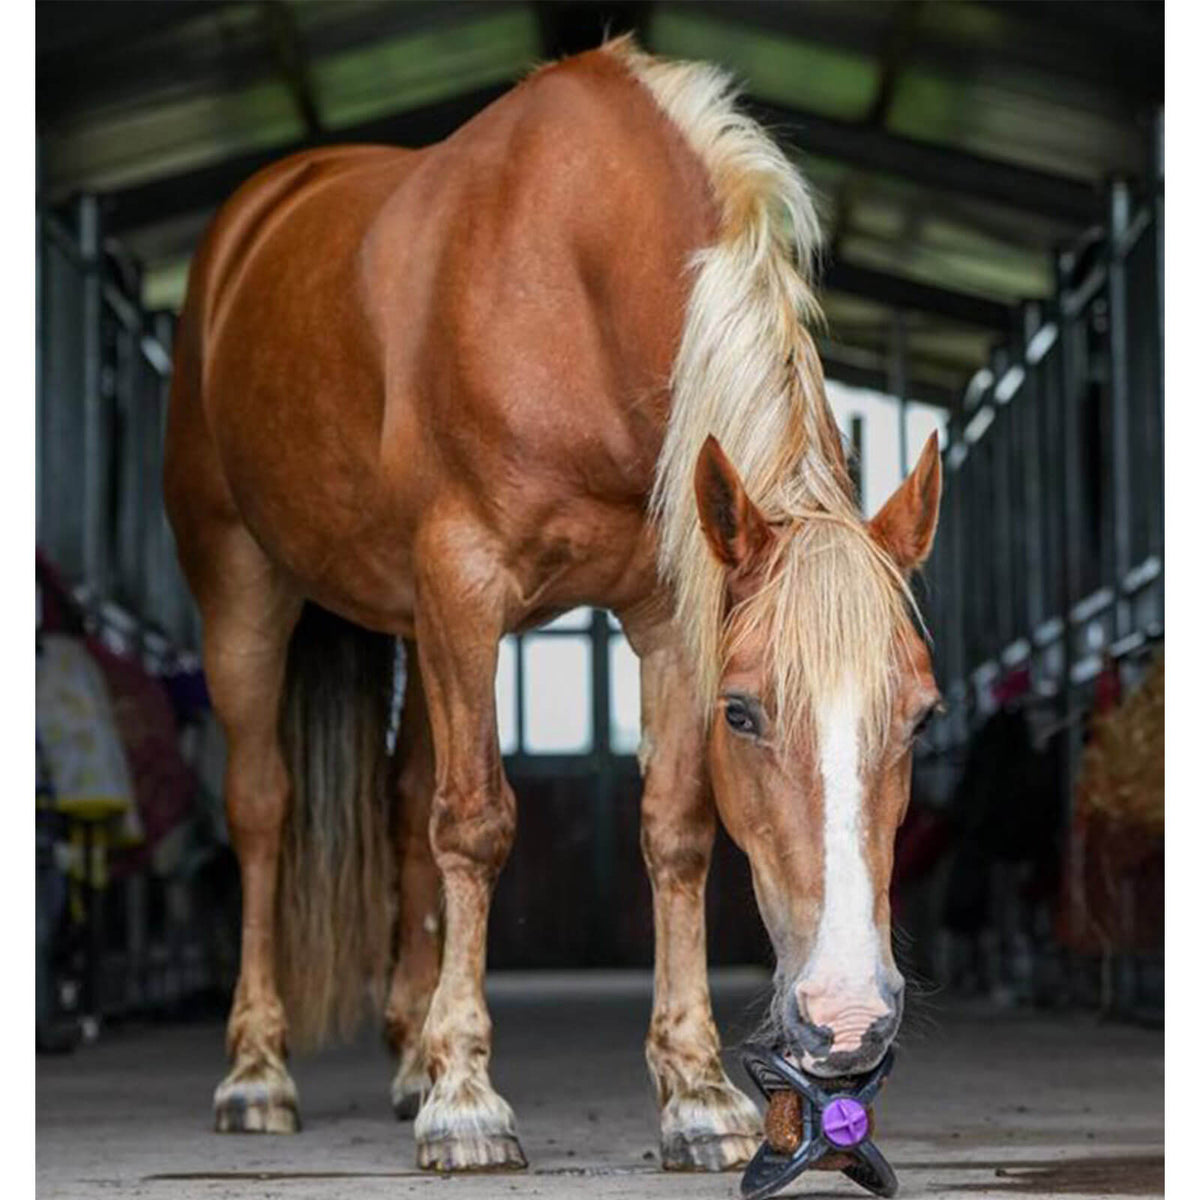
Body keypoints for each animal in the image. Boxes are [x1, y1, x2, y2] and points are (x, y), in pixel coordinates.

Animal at [163, 37, 942, 1173]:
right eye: (745, 713)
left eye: (922, 718)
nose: (848, 1020)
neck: (575, 281)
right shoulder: (465, 584)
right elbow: (477, 822)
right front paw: (467, 1103)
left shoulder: (667, 612)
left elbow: (673, 832)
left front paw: (697, 1093)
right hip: (244, 590)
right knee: (263, 811)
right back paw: (258, 1073)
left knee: (404, 802)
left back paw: (408, 1056)